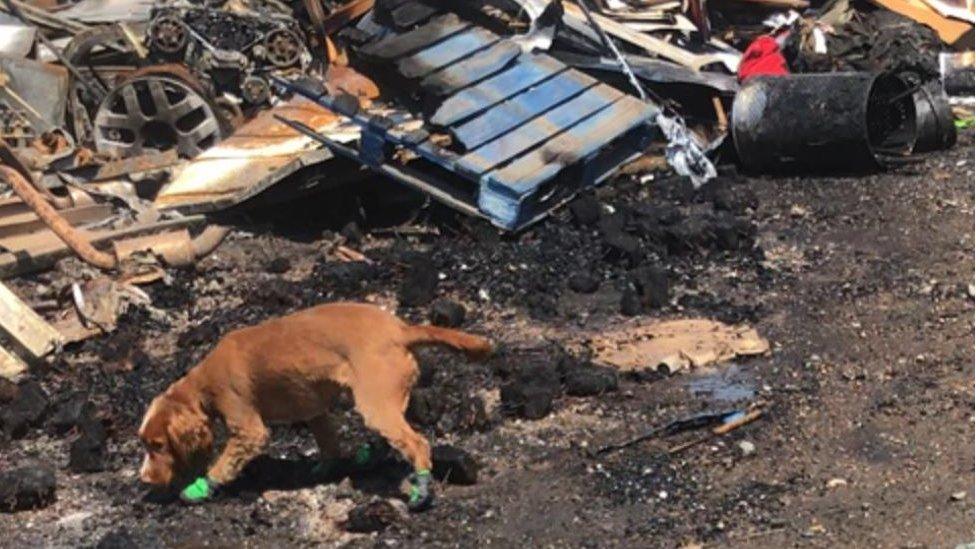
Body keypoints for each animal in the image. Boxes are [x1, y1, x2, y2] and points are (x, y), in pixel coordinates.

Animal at [137, 302, 488, 508]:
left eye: (158, 445)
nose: (145, 480)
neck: (201, 383)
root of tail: (401, 330)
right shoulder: (312, 407)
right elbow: (327, 441)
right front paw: (325, 466)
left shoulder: (244, 421)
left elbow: (228, 460)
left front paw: (200, 487)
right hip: (383, 396)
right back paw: (371, 453)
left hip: (375, 399)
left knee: (416, 443)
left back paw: (421, 490)